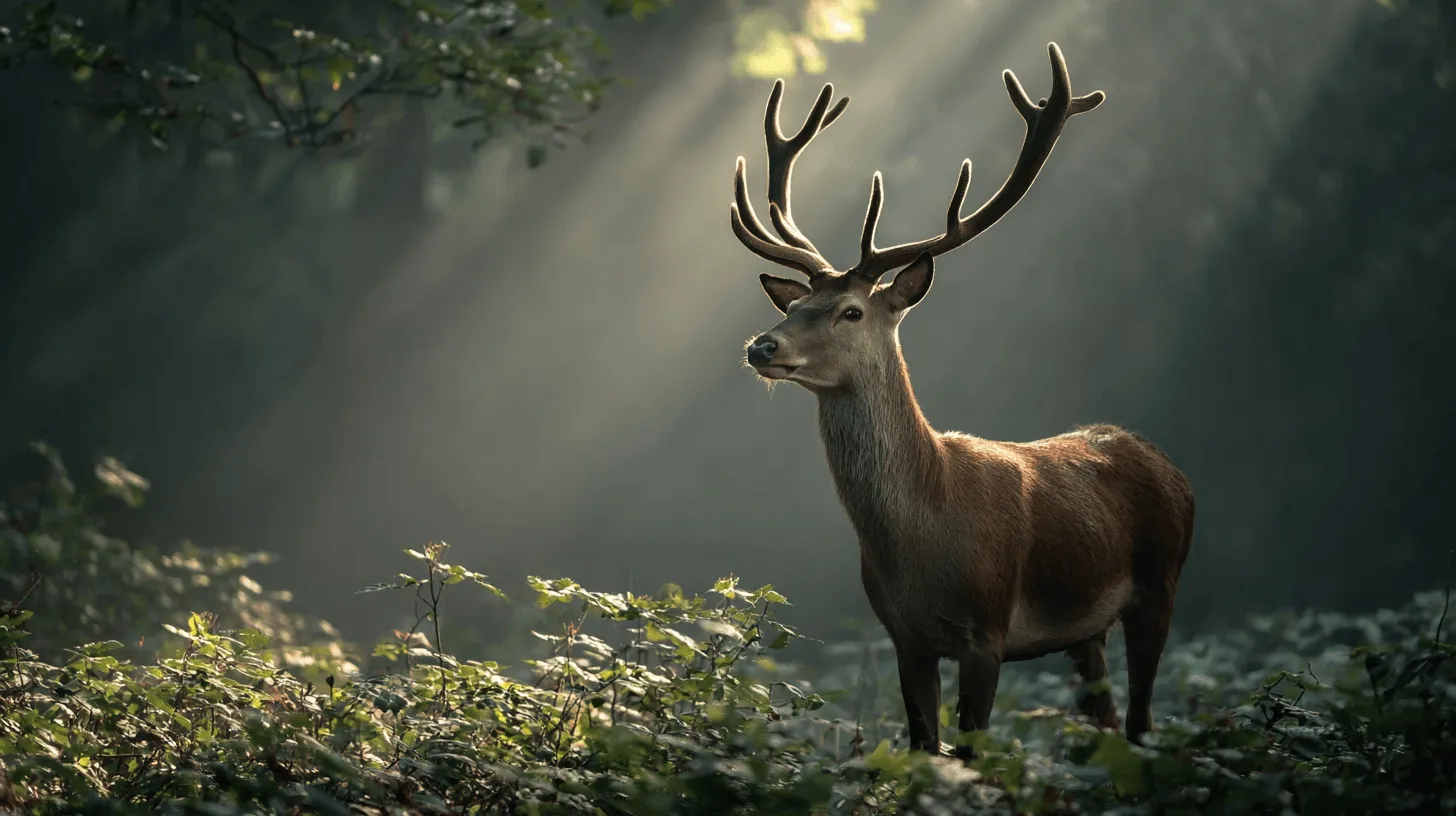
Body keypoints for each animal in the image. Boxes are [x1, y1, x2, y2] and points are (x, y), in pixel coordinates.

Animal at [727, 43, 1195, 759]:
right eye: (796, 304)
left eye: (850, 310)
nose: (761, 345)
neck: (925, 538)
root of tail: (1169, 466)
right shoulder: (903, 637)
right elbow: (926, 748)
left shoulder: (988, 631)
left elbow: (974, 753)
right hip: (1085, 628)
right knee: (1109, 720)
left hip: (1161, 580)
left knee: (1144, 721)